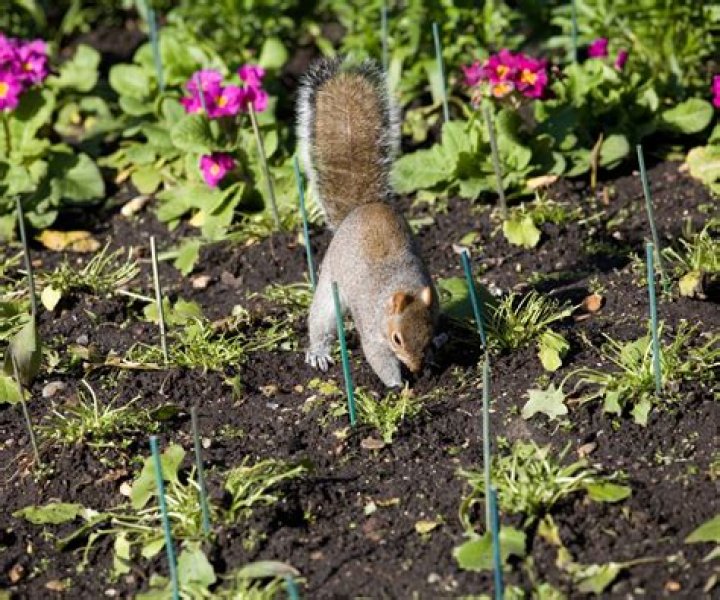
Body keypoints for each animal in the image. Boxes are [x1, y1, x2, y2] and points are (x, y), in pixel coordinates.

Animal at [296, 57, 438, 388]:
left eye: (428, 332)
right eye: (397, 339)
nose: (415, 367)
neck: (401, 285)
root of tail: (362, 208)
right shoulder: (373, 330)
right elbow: (377, 357)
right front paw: (398, 385)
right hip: (329, 287)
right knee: (321, 320)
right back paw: (318, 352)